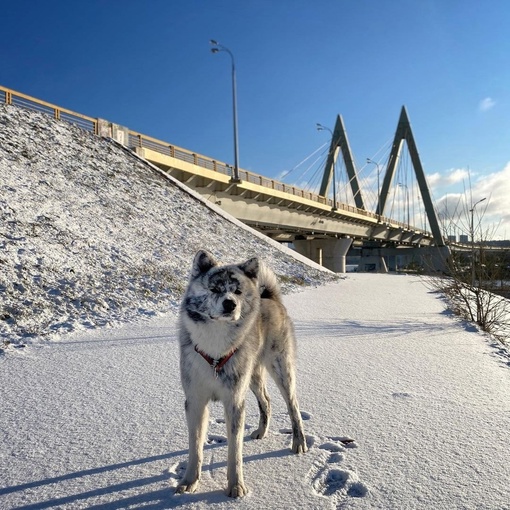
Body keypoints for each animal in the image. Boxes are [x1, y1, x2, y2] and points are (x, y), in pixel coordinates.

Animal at [175, 251, 306, 498]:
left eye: (237, 291)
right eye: (214, 289)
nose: (230, 303)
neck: (216, 348)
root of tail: (271, 298)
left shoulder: (234, 401)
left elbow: (234, 450)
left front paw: (236, 486)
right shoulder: (195, 401)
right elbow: (195, 447)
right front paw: (189, 481)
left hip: (281, 370)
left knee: (293, 407)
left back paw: (299, 441)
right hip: (252, 376)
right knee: (266, 401)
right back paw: (261, 431)